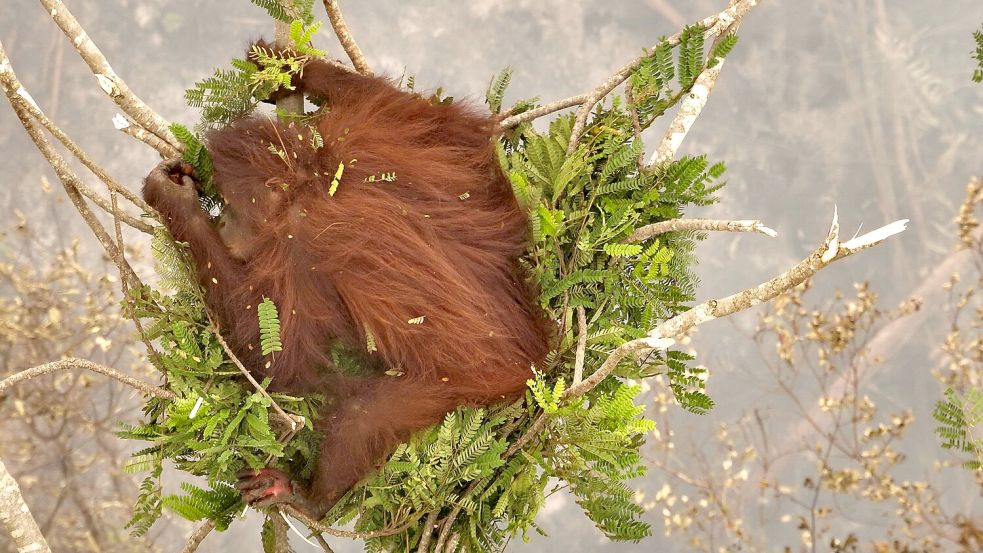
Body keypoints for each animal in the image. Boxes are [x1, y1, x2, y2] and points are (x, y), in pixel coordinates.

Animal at [142, 45, 552, 518]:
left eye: (228, 206)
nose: (222, 225)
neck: (314, 175)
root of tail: (534, 350)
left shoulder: (299, 241)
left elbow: (281, 361)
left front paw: (175, 203)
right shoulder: (370, 134)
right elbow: (438, 123)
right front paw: (289, 67)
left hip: (469, 379)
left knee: (363, 412)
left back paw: (309, 498)